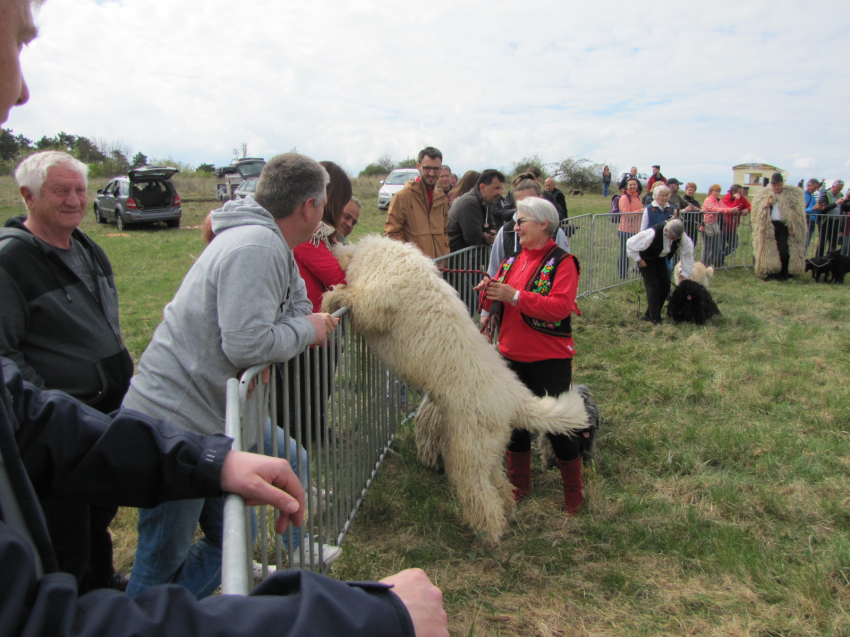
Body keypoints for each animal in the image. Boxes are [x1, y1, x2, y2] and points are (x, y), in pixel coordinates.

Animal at [322, 234, 588, 540]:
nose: (330, 241)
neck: (379, 257)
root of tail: (514, 397)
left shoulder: (381, 300)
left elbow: (360, 302)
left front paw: (331, 298)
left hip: (469, 448)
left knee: (480, 492)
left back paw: (489, 534)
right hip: (490, 448)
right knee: (499, 484)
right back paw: (508, 512)